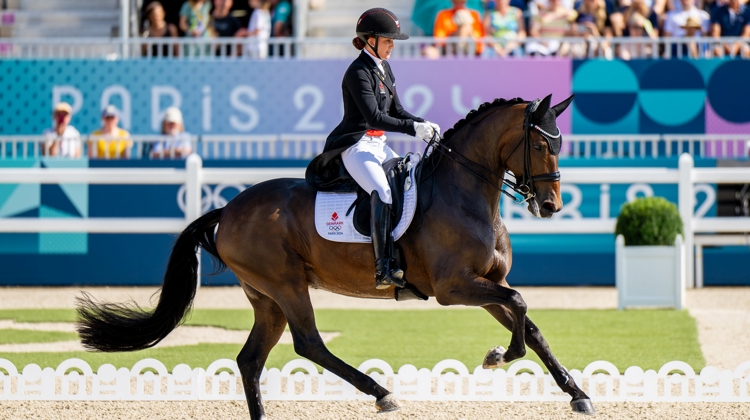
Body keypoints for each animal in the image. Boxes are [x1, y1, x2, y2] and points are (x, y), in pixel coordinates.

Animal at [75, 93, 592, 418]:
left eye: (560, 143)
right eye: (541, 143)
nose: (551, 206)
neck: (464, 193)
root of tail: (230, 207)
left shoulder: (487, 287)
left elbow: (529, 322)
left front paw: (577, 393)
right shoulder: (454, 288)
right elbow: (522, 307)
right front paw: (497, 357)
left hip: (267, 298)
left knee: (251, 359)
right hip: (286, 285)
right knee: (309, 344)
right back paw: (382, 394)